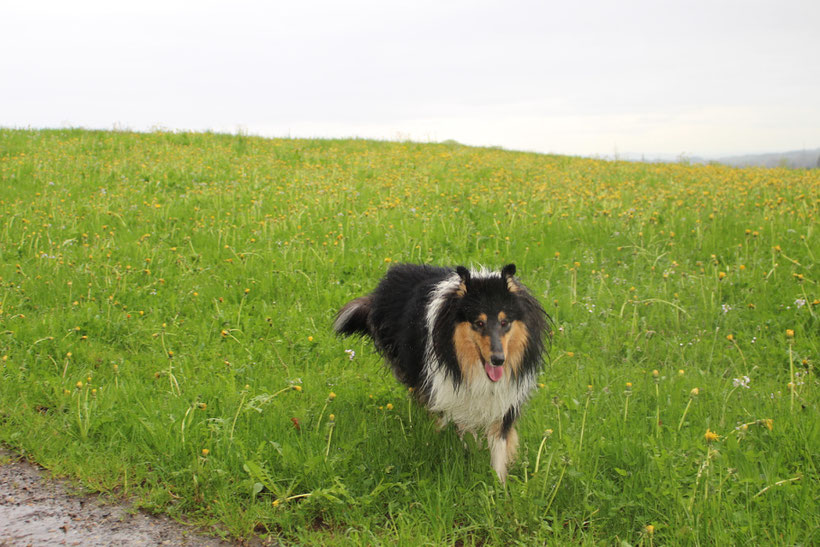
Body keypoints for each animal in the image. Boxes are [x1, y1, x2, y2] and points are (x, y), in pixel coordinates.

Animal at [334, 264, 552, 482]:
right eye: (479, 323)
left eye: (504, 322)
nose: (498, 360)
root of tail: (395, 271)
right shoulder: (455, 396)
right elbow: (468, 435)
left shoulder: (506, 400)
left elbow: (499, 447)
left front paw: (498, 484)